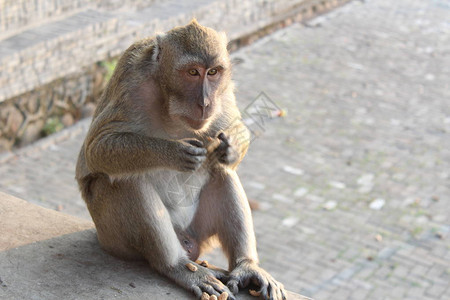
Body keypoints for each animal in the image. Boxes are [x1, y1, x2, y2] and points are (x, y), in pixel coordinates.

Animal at [74, 19, 284, 298]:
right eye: (193, 72)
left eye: (213, 72)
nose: (205, 102)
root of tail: (187, 240)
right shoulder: (131, 79)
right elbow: (98, 147)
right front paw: (174, 152)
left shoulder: (222, 90)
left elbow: (232, 125)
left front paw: (230, 147)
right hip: (113, 237)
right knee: (126, 181)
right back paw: (176, 266)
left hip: (200, 227)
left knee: (221, 171)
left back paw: (246, 266)